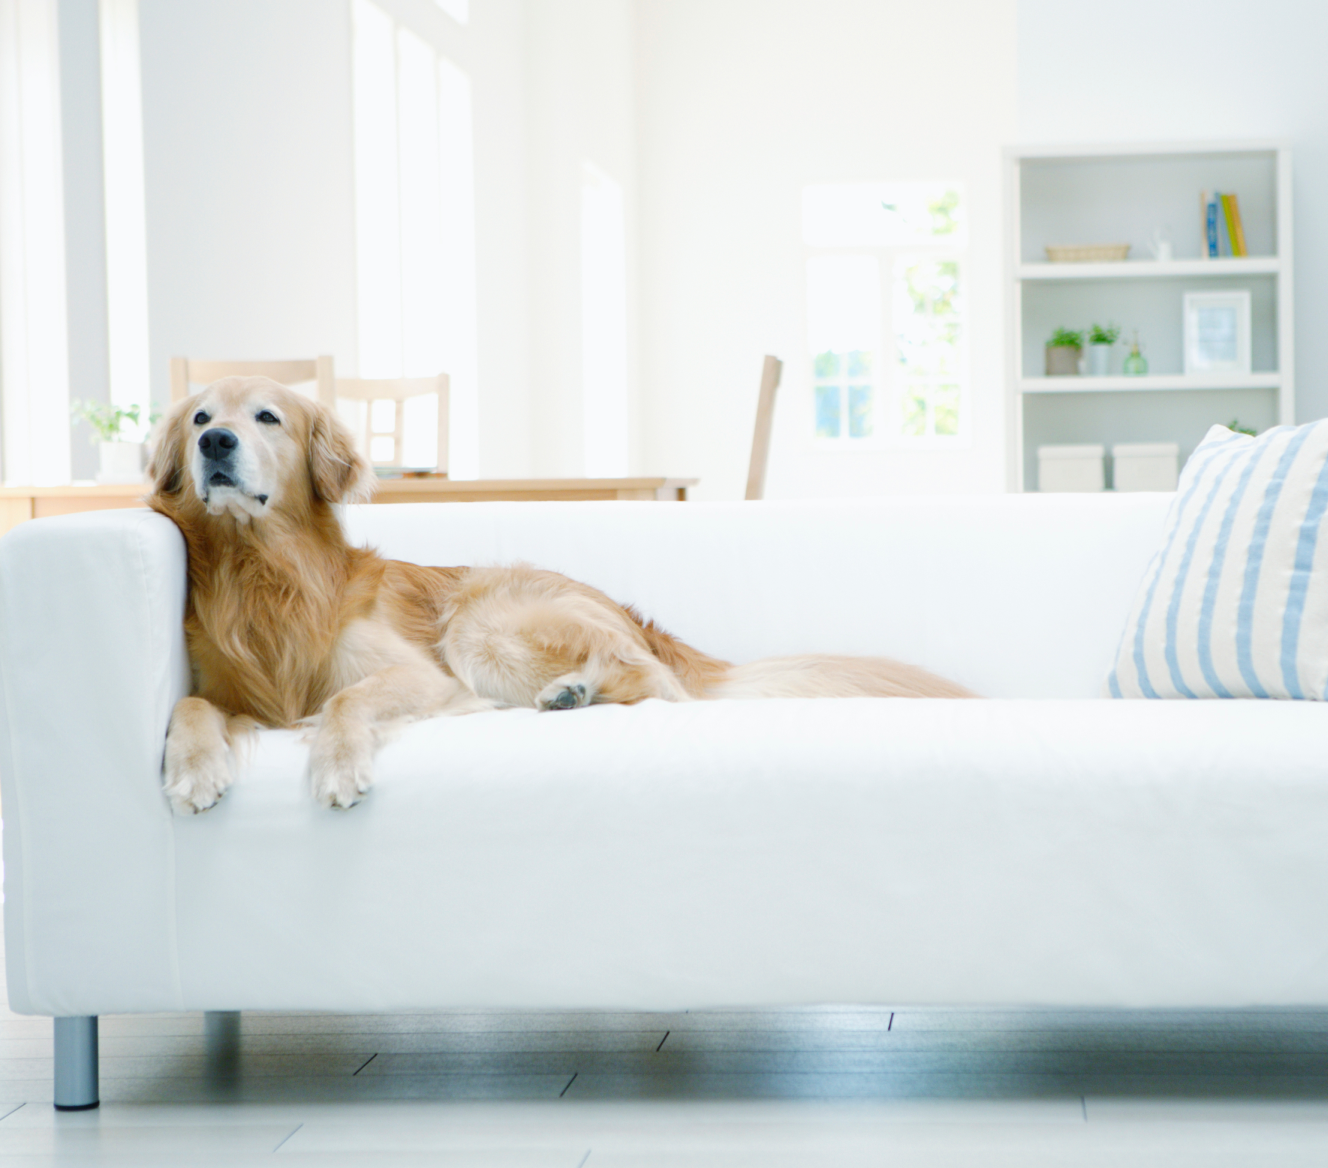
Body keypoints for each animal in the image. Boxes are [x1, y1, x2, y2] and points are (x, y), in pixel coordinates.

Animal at [148, 379, 977, 817]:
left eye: (267, 417)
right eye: (200, 417)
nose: (215, 443)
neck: (265, 574)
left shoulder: (423, 676)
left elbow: (349, 700)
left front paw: (335, 764)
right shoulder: (231, 689)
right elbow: (188, 706)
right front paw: (193, 768)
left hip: (480, 624)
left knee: (662, 686)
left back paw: (578, 690)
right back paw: (572, 694)